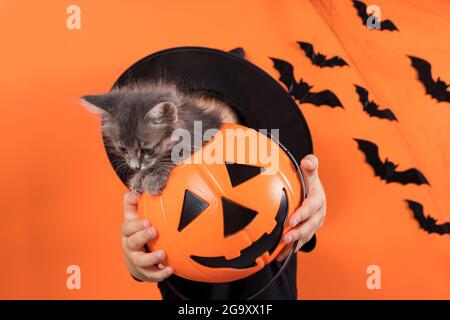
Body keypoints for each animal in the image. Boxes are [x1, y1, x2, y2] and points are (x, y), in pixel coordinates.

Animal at [81, 81, 237, 194]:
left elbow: (175, 155)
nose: (135, 167)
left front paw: (153, 178)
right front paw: (140, 176)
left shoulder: (206, 131)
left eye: (147, 150)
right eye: (123, 149)